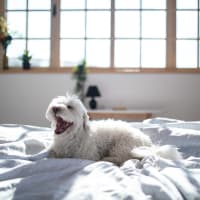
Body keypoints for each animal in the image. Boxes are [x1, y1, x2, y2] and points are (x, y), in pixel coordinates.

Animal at [45, 94, 181, 166]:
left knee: (125, 158)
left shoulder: (87, 155)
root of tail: (149, 144)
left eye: (69, 107)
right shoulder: (55, 150)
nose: (55, 108)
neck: (71, 136)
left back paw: (108, 159)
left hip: (121, 145)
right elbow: (51, 154)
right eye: (56, 103)